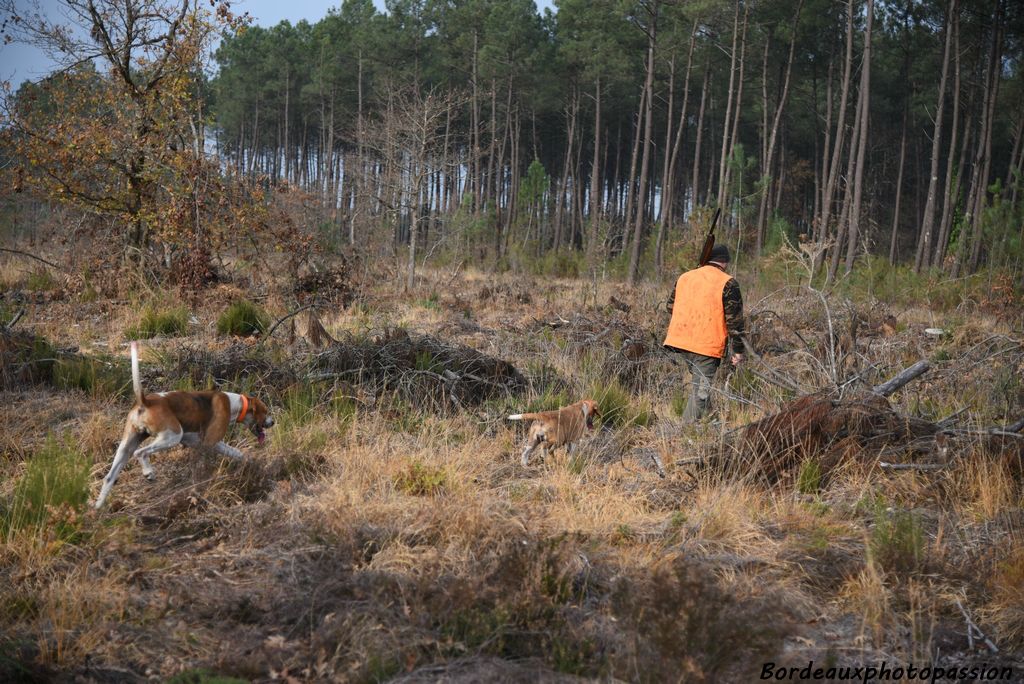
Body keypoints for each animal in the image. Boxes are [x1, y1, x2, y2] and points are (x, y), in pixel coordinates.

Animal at [92, 339, 274, 507]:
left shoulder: (212, 444)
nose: (272, 422)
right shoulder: (209, 444)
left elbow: (238, 454)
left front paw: (251, 464)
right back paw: (148, 472)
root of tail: (145, 401)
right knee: (141, 453)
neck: (235, 403)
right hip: (172, 436)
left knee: (109, 477)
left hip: (126, 447)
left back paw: (98, 508)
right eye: (265, 411)